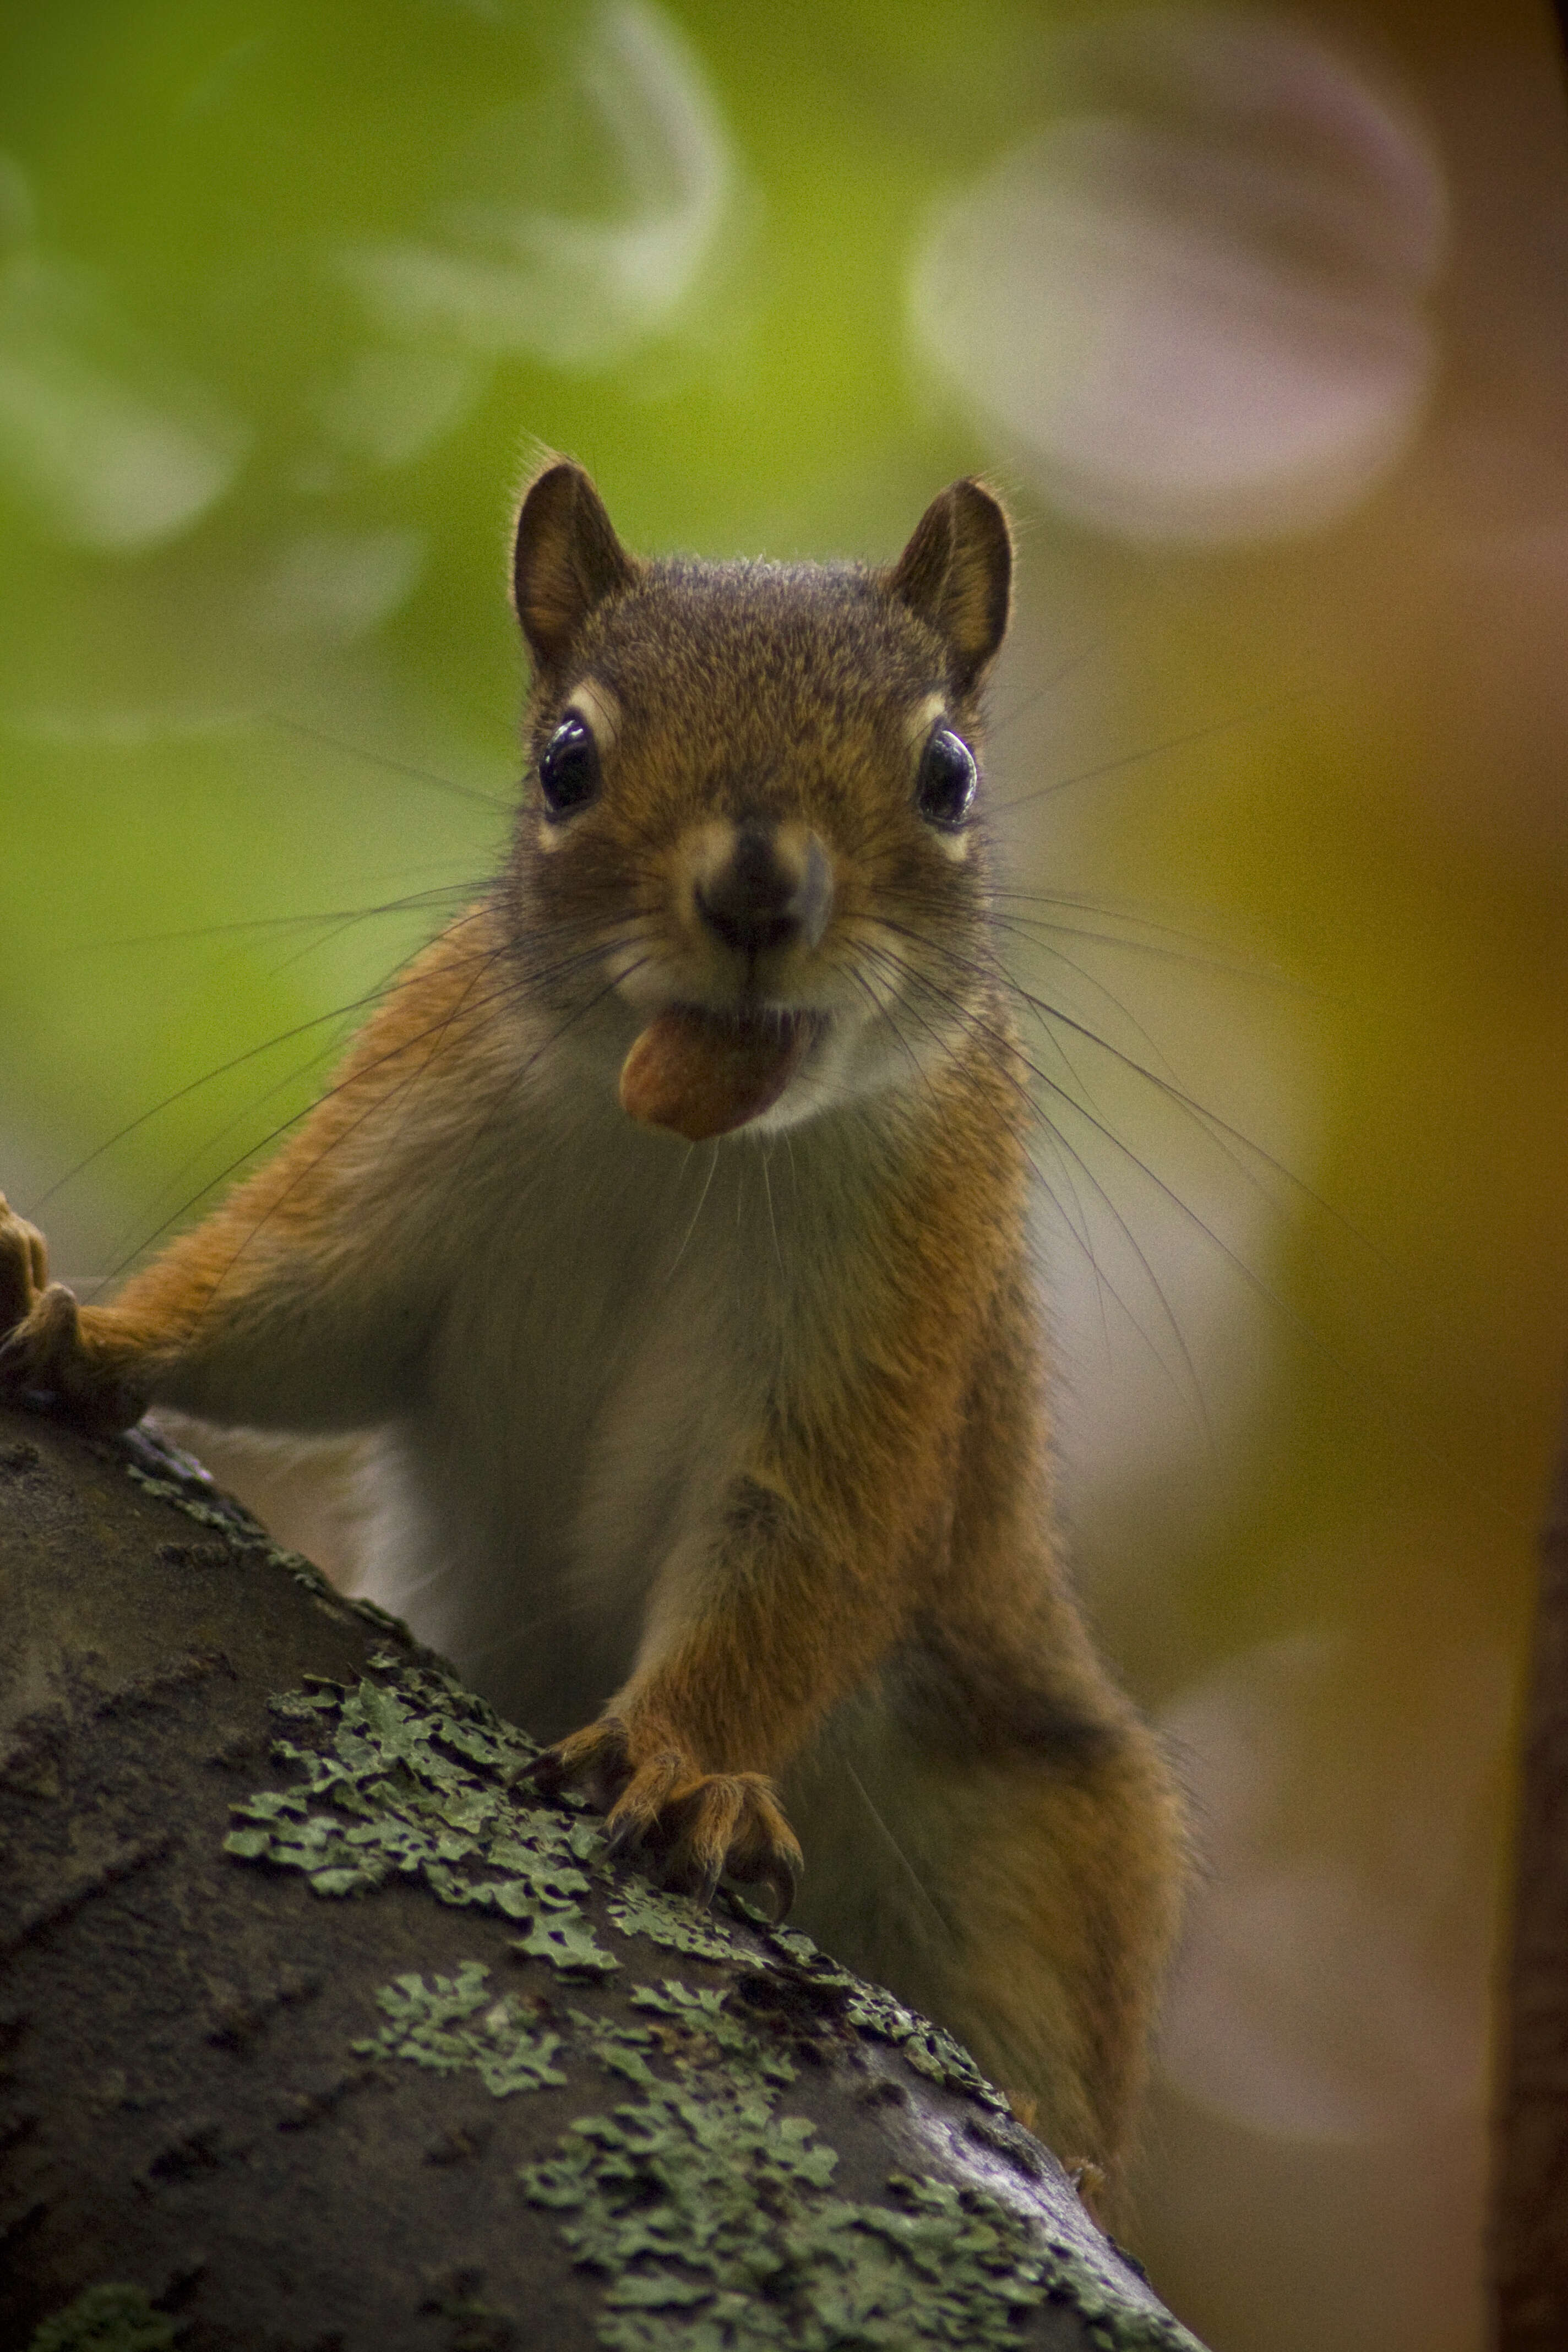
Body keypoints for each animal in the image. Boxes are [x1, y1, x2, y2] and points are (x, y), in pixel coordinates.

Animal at [0, 463, 1175, 2201]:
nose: (755, 889)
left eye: (948, 773)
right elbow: (286, 1307)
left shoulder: (902, 1286)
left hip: (1043, 1845)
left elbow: (800, 1545)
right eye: (566, 757)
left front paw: (687, 1766)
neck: (679, 1144)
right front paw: (77, 1323)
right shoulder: (412, 1130)